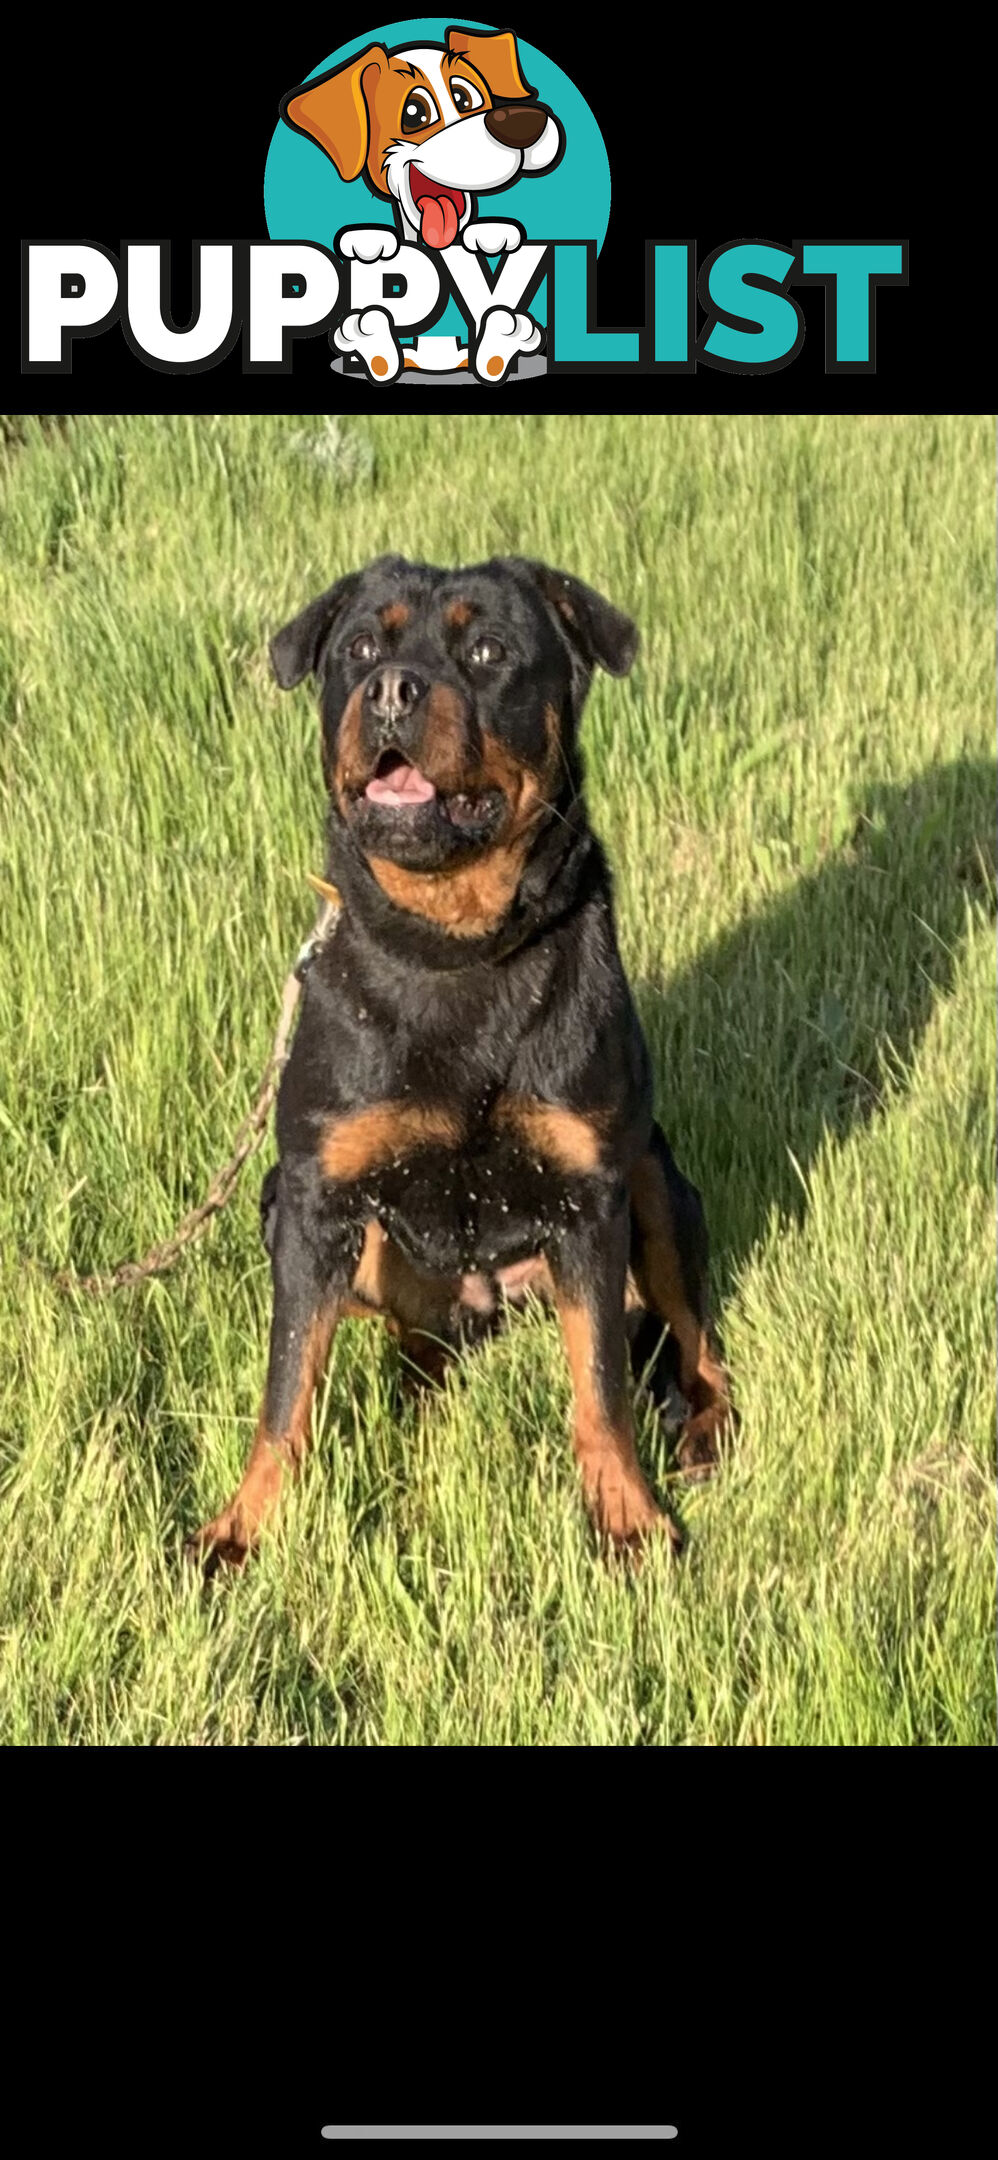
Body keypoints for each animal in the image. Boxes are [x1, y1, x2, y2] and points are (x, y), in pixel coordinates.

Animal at [189, 552, 734, 1572]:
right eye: (360, 649)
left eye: (487, 651)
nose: (391, 690)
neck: (455, 948)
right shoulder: (316, 1199)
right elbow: (285, 1393)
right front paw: (242, 1530)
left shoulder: (587, 1197)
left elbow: (601, 1386)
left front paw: (628, 1517)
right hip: (295, 1212)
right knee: (414, 1338)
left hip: (652, 1176)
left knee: (692, 1331)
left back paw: (705, 1425)